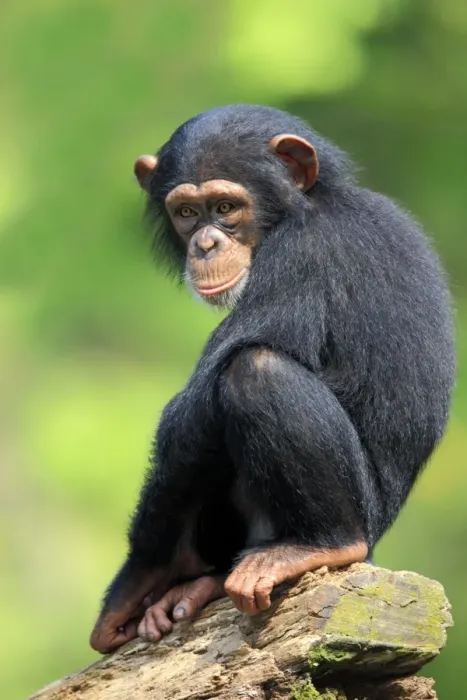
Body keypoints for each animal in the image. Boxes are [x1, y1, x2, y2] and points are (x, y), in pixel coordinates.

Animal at [90, 104, 455, 653]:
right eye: (187, 213)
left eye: (225, 206)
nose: (206, 243)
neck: (307, 205)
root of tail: (377, 541)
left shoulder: (299, 259)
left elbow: (192, 409)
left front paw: (139, 583)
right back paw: (204, 584)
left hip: (356, 522)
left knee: (255, 372)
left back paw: (320, 544)